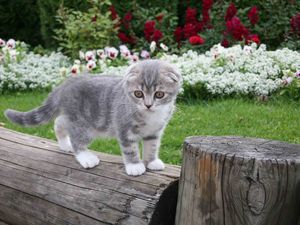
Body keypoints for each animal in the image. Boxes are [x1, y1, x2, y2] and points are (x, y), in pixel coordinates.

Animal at [4, 59, 182, 176]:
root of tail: (65, 85)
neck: (150, 115)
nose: (148, 105)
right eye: (138, 93)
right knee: (76, 138)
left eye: (159, 94)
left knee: (59, 121)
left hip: (74, 118)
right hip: (82, 124)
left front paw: (152, 161)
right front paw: (135, 165)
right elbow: (130, 148)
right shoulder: (124, 127)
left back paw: (64, 144)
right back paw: (85, 156)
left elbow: (152, 145)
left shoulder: (155, 131)